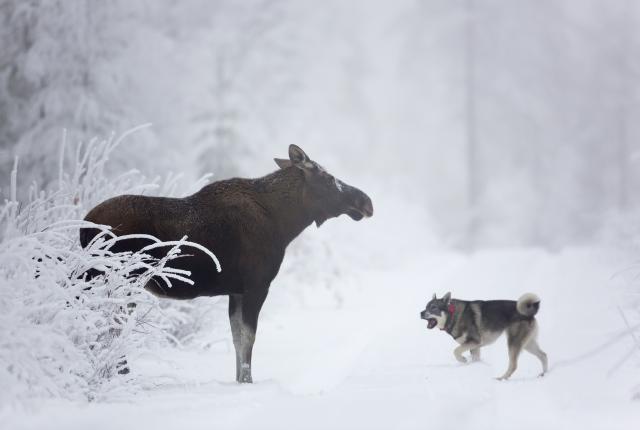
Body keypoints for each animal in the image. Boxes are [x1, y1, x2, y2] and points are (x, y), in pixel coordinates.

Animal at [80, 144, 372, 382]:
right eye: (329, 178)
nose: (366, 201)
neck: (285, 224)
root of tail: (84, 226)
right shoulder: (257, 285)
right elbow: (249, 337)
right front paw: (248, 381)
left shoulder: (236, 291)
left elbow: (236, 337)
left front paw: (238, 379)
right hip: (118, 281)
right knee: (111, 325)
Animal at [420, 292, 552, 380]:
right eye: (426, 307)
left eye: (433, 307)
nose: (420, 313)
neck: (453, 315)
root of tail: (530, 314)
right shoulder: (474, 347)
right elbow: (475, 358)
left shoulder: (474, 342)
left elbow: (456, 351)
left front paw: (463, 360)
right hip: (528, 344)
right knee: (543, 355)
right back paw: (544, 374)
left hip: (513, 343)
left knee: (514, 365)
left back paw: (501, 378)